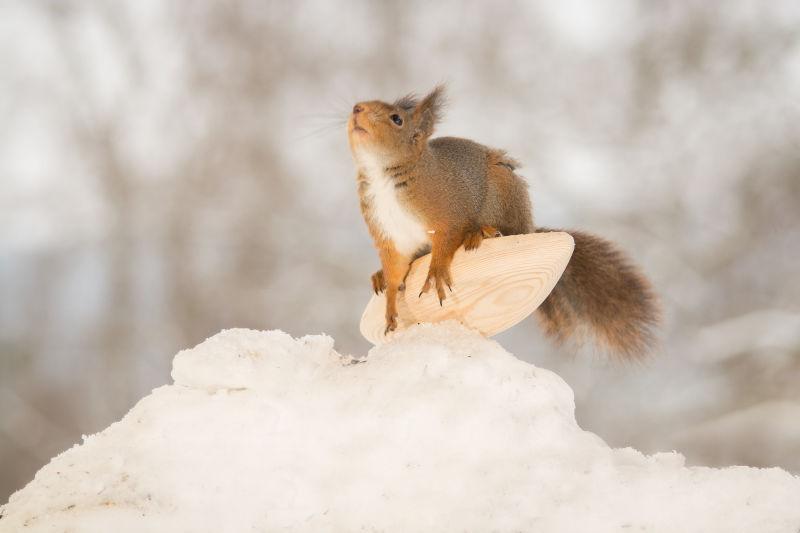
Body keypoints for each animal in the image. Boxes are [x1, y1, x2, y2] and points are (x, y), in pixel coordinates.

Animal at [346, 85, 660, 360]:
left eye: (396, 119)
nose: (356, 108)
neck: (382, 175)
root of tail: (529, 225)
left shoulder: (447, 213)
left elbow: (447, 239)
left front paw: (436, 271)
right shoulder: (390, 235)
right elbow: (395, 269)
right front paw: (390, 305)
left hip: (503, 194)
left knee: (504, 231)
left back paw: (481, 233)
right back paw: (379, 276)